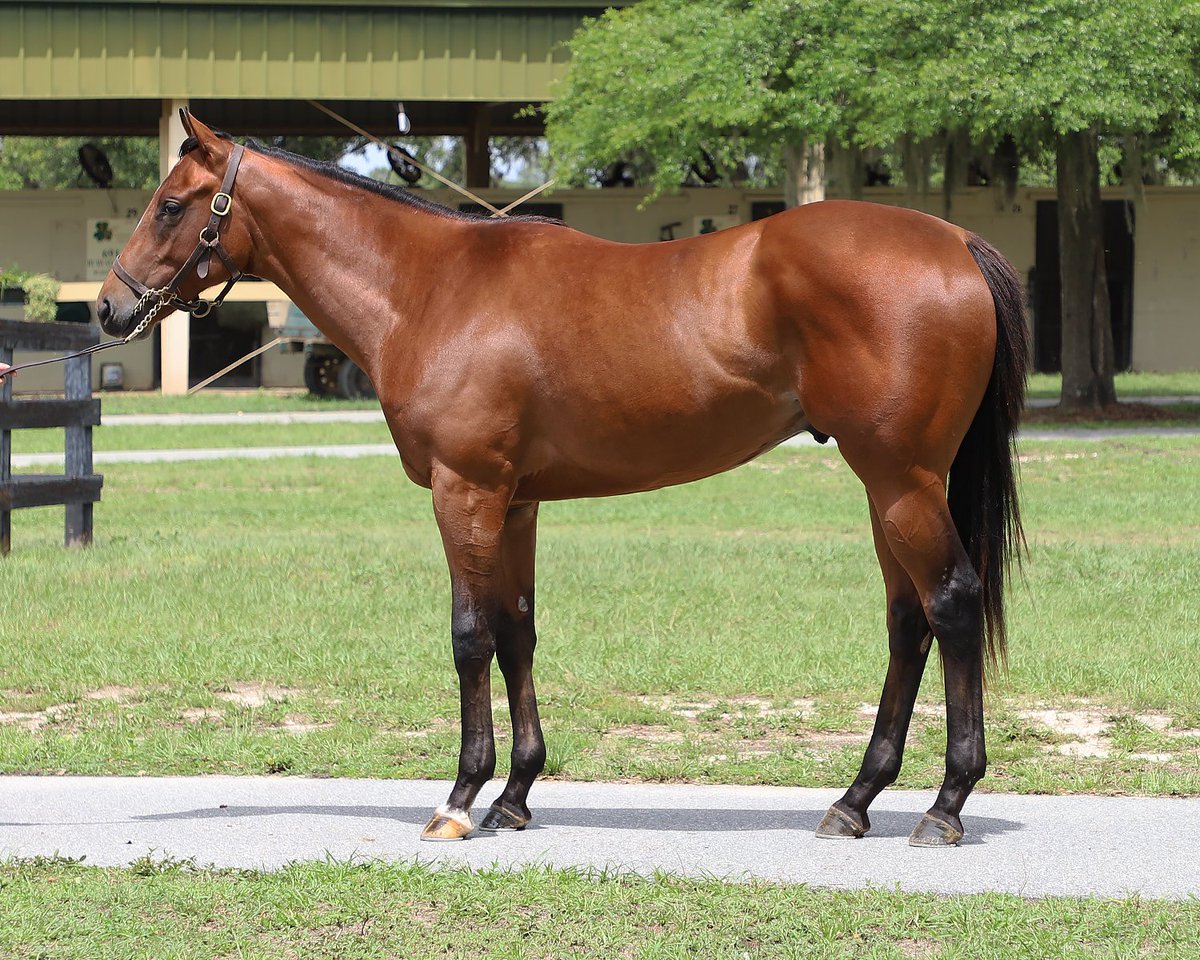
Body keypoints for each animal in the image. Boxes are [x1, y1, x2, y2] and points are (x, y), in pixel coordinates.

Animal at [98, 110, 1028, 847]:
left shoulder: (465, 493)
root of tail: (954, 240)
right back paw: (856, 800)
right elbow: (517, 632)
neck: (430, 288)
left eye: (171, 205)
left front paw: (460, 799)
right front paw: (513, 796)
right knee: (908, 622)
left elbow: (470, 637)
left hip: (903, 482)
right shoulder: (515, 504)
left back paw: (944, 805)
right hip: (887, 488)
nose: (110, 307)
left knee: (950, 604)